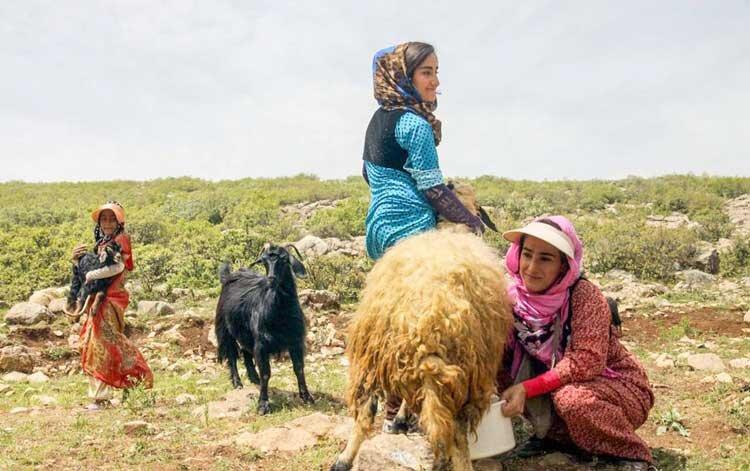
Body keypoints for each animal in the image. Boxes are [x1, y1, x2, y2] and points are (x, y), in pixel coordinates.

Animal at [214, 245, 314, 414]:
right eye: (264, 261)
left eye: (284, 260)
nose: (271, 278)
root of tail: (228, 276)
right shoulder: (261, 344)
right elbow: (266, 373)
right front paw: (263, 405)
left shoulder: (296, 341)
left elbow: (299, 368)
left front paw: (307, 397)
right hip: (225, 330)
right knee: (232, 355)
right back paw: (237, 382)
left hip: (246, 333)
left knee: (245, 352)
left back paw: (253, 377)